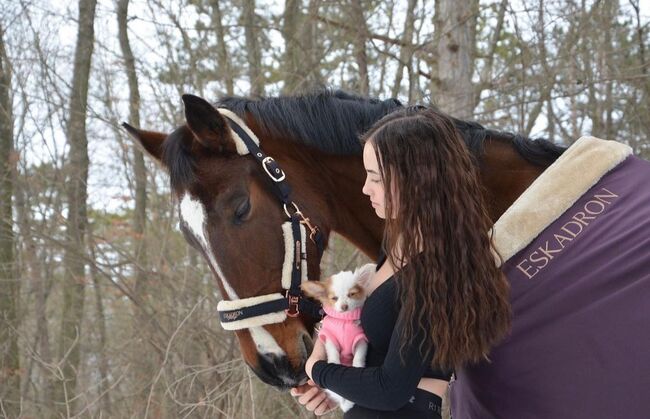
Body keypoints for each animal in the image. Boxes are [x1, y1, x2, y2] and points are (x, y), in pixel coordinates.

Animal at [300, 264, 374, 412]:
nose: (344, 306)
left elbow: (359, 356)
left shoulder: (361, 340)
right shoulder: (330, 338)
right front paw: (334, 362)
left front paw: (358, 366)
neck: (344, 320)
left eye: (351, 294)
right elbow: (333, 352)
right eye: (334, 298)